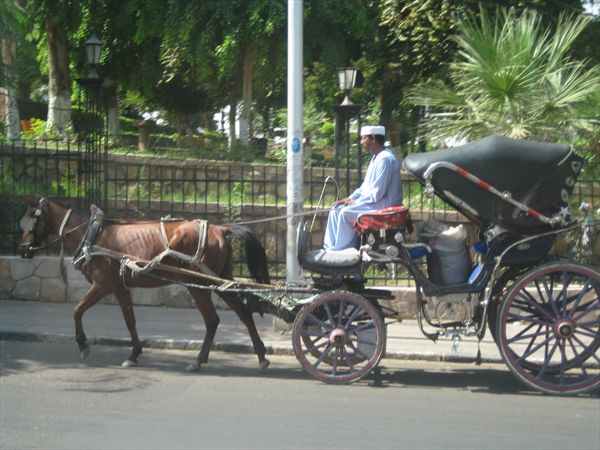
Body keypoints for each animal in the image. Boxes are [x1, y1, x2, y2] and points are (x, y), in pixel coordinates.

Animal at [18, 195, 272, 370]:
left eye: (31, 216)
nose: (22, 249)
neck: (92, 233)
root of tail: (220, 228)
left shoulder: (102, 285)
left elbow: (77, 310)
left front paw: (83, 345)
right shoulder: (120, 287)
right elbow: (129, 320)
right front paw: (134, 354)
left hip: (196, 284)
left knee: (212, 320)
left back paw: (199, 360)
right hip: (219, 280)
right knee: (242, 313)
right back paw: (260, 355)